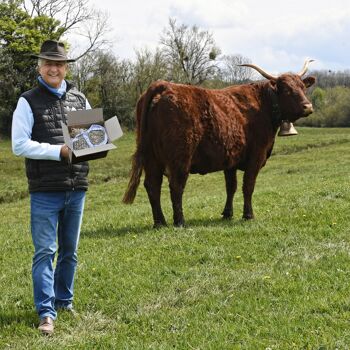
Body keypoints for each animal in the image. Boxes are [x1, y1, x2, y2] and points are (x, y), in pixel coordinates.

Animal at [123, 59, 318, 227]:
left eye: (302, 87)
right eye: (286, 90)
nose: (308, 106)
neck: (264, 105)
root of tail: (164, 85)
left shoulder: (230, 160)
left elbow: (231, 187)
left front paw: (227, 214)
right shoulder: (256, 156)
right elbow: (248, 186)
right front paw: (248, 215)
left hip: (151, 157)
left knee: (152, 186)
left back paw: (160, 223)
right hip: (180, 157)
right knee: (176, 186)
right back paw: (179, 221)